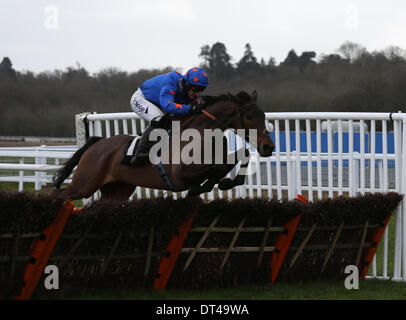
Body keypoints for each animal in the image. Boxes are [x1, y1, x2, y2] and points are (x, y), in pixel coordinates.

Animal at [52, 90, 274, 200]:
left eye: (263, 115)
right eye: (249, 116)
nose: (268, 147)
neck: (202, 133)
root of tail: (97, 144)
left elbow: (241, 154)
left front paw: (227, 182)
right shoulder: (181, 174)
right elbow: (217, 167)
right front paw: (210, 184)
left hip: (116, 192)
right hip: (83, 186)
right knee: (60, 197)